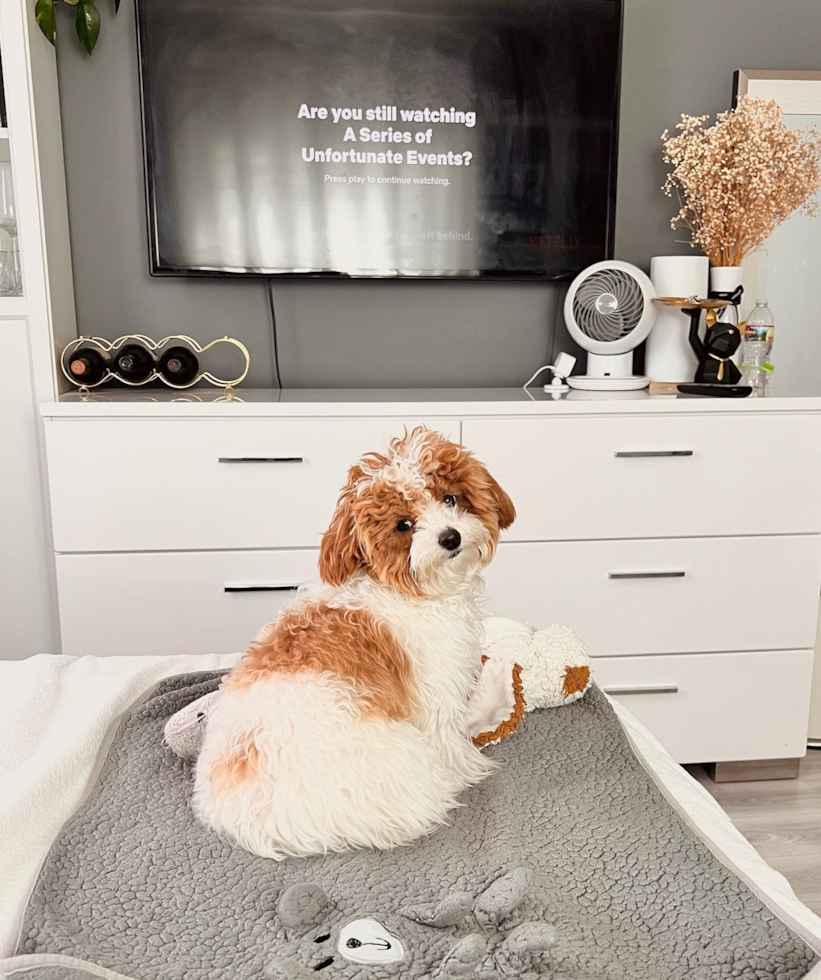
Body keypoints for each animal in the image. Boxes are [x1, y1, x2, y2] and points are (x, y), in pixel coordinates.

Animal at [192, 428, 512, 856]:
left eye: (450, 498)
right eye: (404, 524)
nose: (450, 537)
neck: (400, 586)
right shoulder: (435, 691)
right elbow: (448, 735)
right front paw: (470, 766)